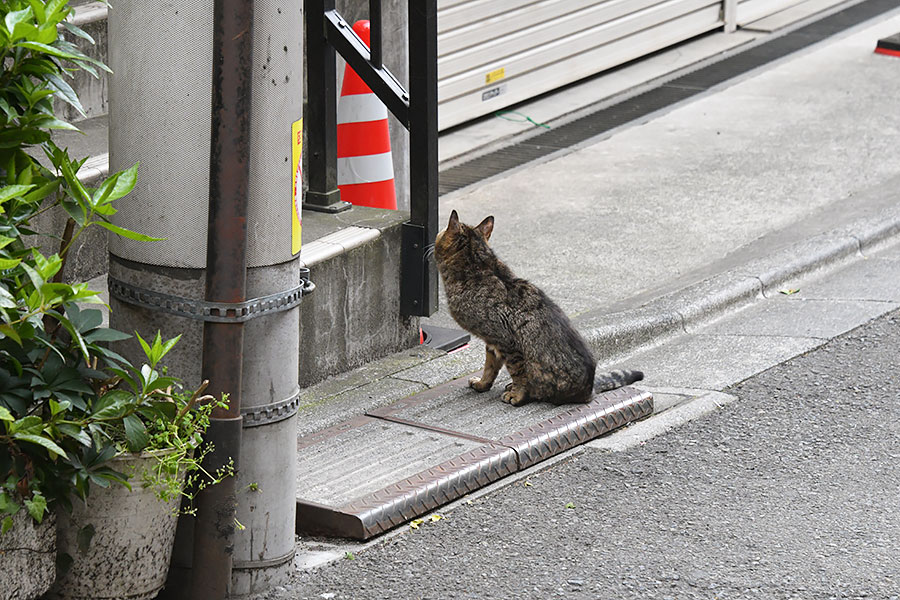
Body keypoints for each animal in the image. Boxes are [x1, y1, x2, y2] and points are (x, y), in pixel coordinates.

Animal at [434, 211, 640, 408]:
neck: (479, 265)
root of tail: (589, 390)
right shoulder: (492, 342)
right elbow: (490, 367)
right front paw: (482, 384)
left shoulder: (506, 342)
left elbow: (517, 372)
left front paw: (517, 395)